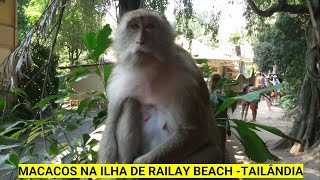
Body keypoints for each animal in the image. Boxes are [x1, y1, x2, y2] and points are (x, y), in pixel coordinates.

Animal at [97, 8, 222, 166]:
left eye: (150, 26)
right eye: (134, 26)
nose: (140, 41)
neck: (149, 69)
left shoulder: (186, 76)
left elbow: (194, 131)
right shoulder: (117, 81)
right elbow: (110, 125)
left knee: (214, 151)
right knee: (130, 102)